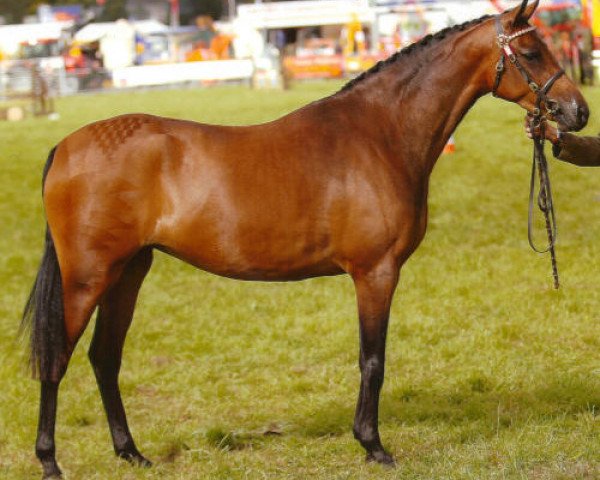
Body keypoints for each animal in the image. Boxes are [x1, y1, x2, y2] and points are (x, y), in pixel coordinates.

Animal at [22, 1, 584, 478]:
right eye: (531, 52)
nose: (578, 112)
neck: (380, 133)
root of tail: (65, 147)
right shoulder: (376, 273)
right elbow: (373, 360)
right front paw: (373, 445)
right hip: (88, 277)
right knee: (58, 358)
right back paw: (49, 461)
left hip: (129, 271)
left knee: (104, 357)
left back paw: (132, 453)